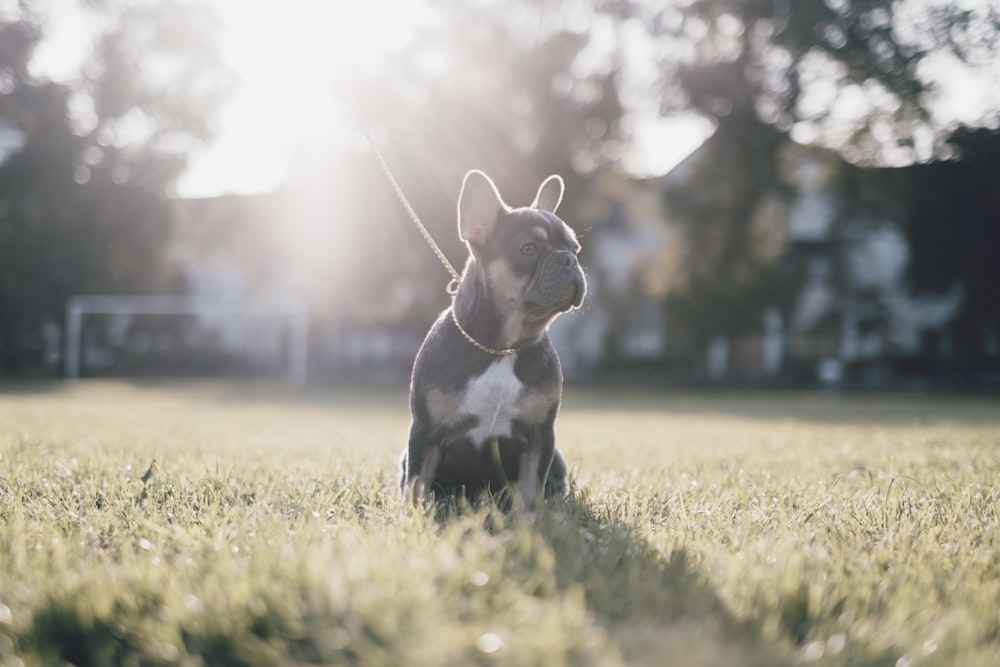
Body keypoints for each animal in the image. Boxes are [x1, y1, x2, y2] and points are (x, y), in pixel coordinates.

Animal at [398, 170, 584, 508]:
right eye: (529, 248)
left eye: (575, 248)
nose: (568, 259)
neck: (501, 348)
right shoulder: (425, 433)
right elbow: (417, 487)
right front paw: (413, 517)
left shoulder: (540, 437)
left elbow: (530, 490)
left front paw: (529, 518)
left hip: (557, 458)